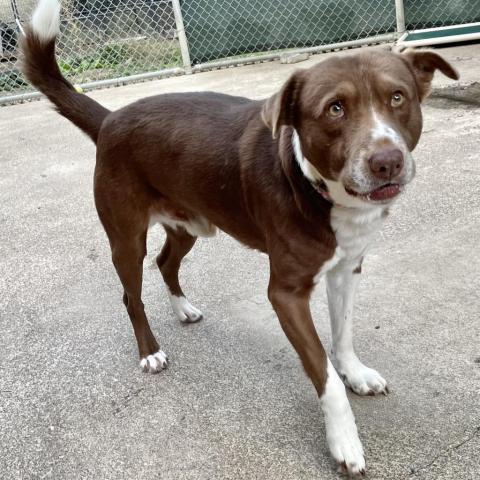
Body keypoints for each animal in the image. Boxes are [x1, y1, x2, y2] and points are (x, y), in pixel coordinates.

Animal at [21, 0, 458, 474]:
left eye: (398, 97)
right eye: (335, 109)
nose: (387, 162)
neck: (313, 184)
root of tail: (110, 118)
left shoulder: (347, 268)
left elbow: (342, 335)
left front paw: (355, 372)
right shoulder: (286, 293)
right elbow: (324, 374)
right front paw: (344, 441)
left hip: (188, 224)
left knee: (165, 262)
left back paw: (184, 308)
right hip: (126, 236)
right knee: (131, 293)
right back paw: (150, 351)